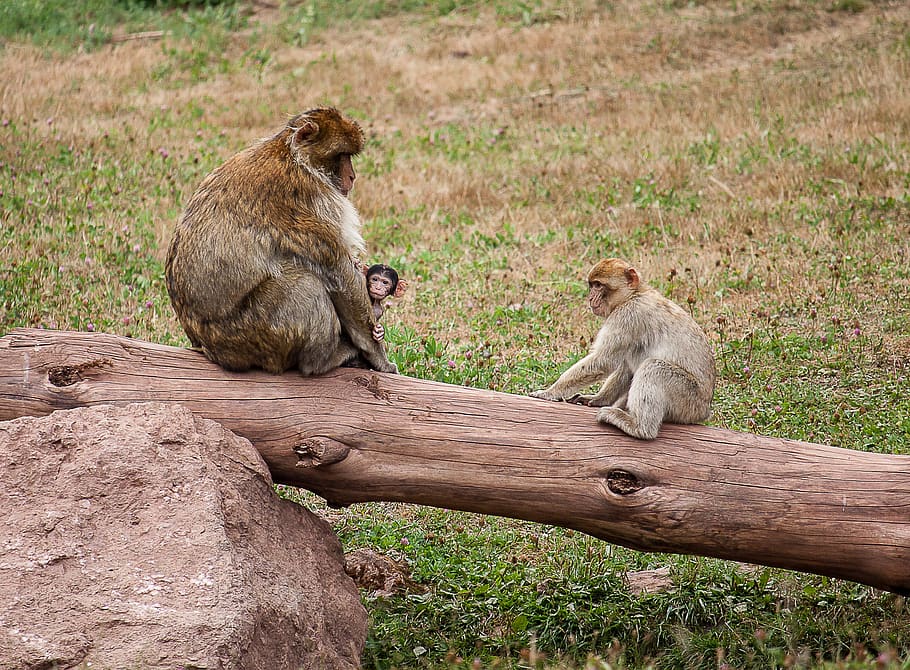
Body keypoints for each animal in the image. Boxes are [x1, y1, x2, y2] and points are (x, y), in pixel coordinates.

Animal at [165, 107, 398, 376]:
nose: (352, 176)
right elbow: (339, 272)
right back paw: (321, 360)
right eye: (341, 155)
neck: (293, 155)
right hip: (257, 334)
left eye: (349, 156)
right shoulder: (312, 196)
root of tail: (207, 347)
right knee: (306, 284)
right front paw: (379, 357)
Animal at [530, 258, 716, 440]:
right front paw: (599, 398)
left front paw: (550, 392)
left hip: (688, 400)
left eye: (598, 285)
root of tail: (704, 410)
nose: (590, 298)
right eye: (592, 285)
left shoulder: (627, 316)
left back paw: (639, 427)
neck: (633, 295)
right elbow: (625, 367)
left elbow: (604, 361)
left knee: (653, 367)